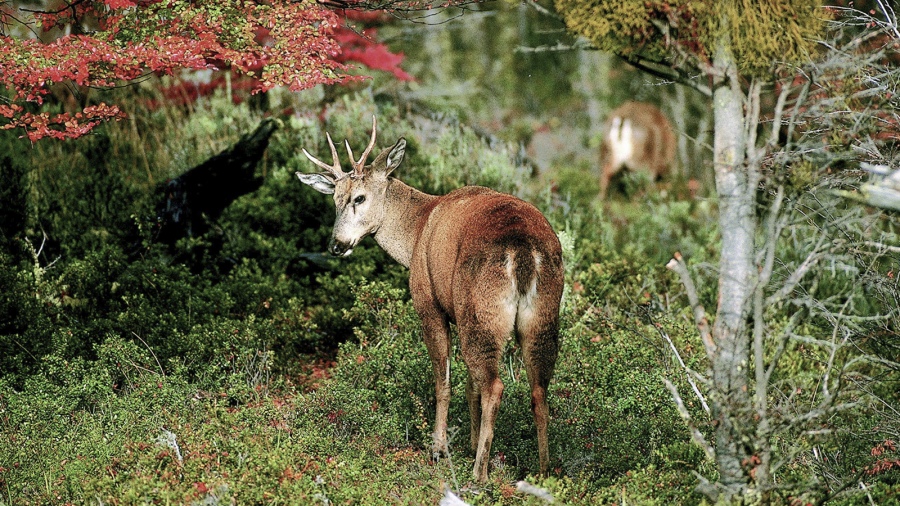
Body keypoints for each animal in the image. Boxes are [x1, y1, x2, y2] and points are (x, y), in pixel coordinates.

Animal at [296, 115, 564, 482]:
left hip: (481, 310)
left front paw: (439, 448)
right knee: (537, 389)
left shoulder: (429, 303)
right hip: (539, 315)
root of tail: (522, 250)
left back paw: (479, 474)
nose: (336, 245)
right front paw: (467, 443)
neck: (417, 230)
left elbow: (443, 379)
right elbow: (469, 385)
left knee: (494, 386)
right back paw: (542, 470)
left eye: (359, 198)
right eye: (334, 199)